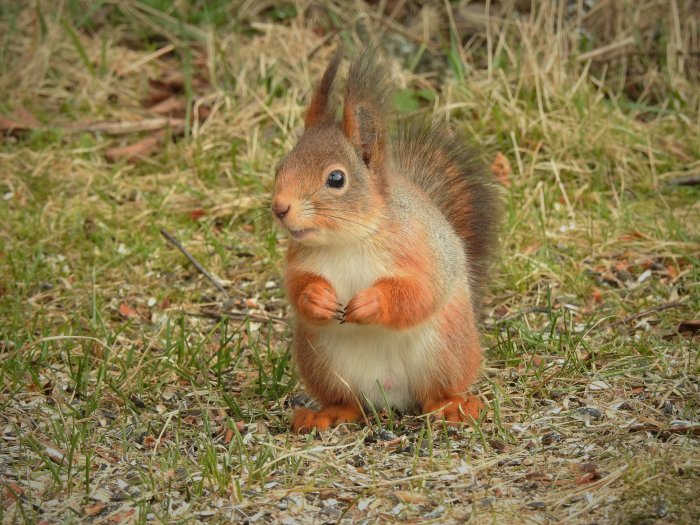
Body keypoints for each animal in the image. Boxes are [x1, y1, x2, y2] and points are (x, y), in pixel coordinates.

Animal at [270, 50, 500, 434]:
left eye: (336, 179)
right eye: (280, 166)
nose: (279, 208)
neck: (349, 239)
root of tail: (391, 396)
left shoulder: (419, 246)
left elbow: (420, 292)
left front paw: (371, 303)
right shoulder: (299, 259)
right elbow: (295, 286)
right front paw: (316, 298)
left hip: (446, 352)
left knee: (436, 393)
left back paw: (451, 407)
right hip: (322, 364)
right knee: (349, 403)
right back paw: (326, 414)